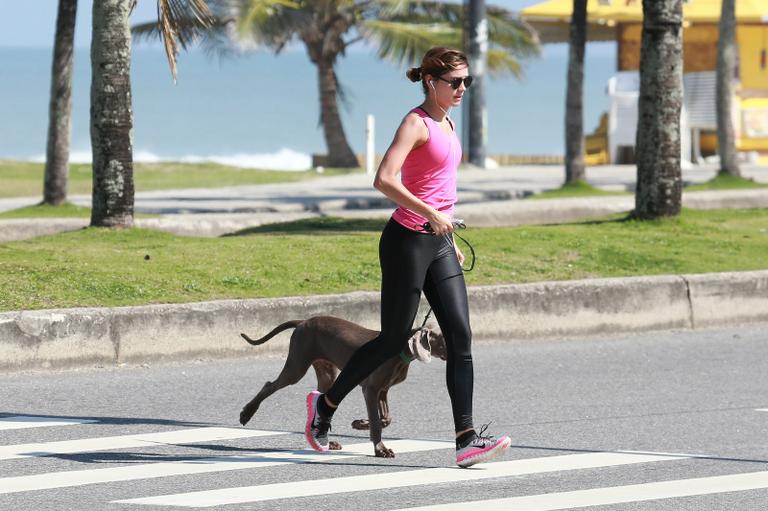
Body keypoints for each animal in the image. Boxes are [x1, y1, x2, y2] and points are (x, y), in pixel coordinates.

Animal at [237, 318, 448, 458]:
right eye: (444, 338)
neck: (400, 353)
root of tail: (303, 321)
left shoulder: (383, 390)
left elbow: (386, 418)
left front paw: (360, 423)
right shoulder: (370, 389)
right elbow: (378, 422)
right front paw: (380, 449)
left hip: (327, 373)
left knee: (320, 402)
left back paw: (326, 441)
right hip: (297, 366)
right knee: (270, 385)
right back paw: (247, 413)